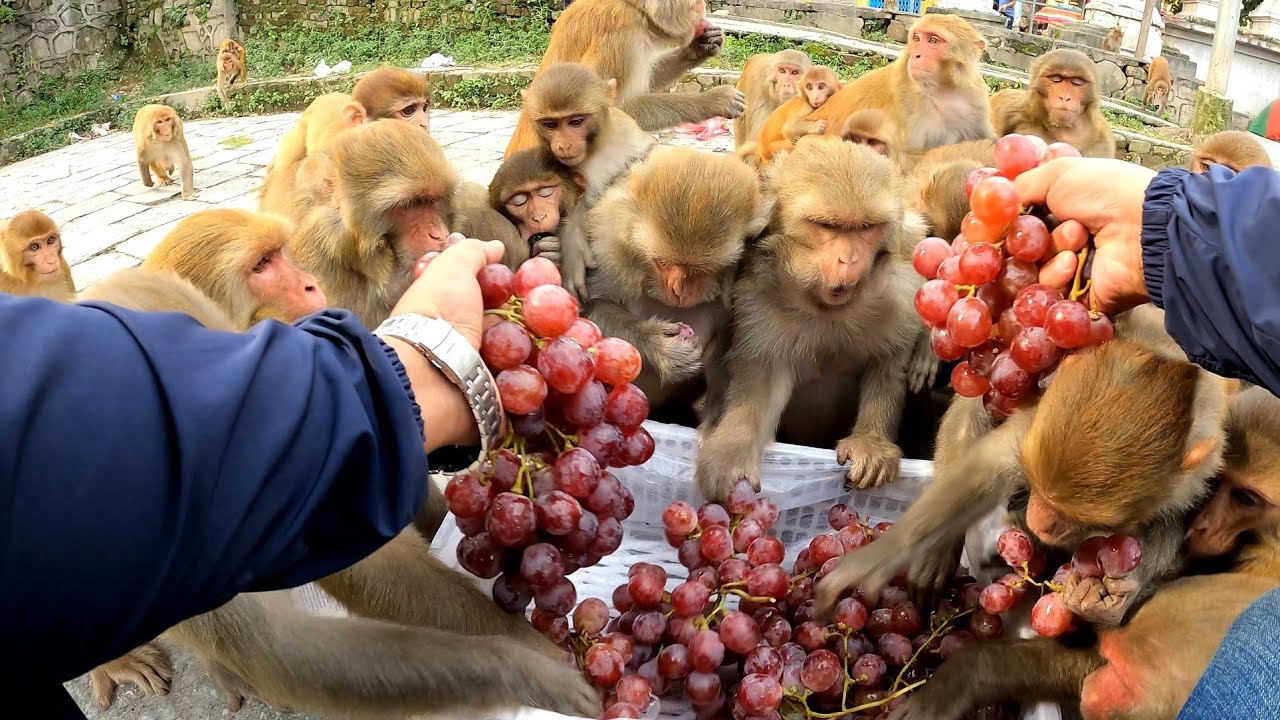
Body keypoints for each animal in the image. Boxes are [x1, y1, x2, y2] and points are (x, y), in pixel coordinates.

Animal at [503, 0, 746, 158]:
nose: (701, 3)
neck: (635, 7)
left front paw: (699, 47)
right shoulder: (620, 35)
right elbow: (612, 110)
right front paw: (716, 99)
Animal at [521, 63, 659, 300]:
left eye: (576, 121)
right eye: (550, 124)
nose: (564, 145)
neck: (595, 150)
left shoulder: (625, 127)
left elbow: (648, 152)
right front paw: (571, 243)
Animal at [584, 145, 771, 420]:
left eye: (702, 271)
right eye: (661, 263)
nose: (679, 290)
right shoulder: (608, 244)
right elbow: (591, 307)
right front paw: (659, 345)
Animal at [695, 137, 928, 501]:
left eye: (865, 228)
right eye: (827, 226)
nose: (849, 260)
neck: (826, 307)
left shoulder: (900, 294)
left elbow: (887, 366)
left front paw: (871, 443)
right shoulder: (759, 301)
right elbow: (763, 381)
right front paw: (730, 449)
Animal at [804, 15, 993, 162]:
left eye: (933, 40)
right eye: (916, 38)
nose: (916, 55)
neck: (940, 89)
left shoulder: (974, 99)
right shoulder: (906, 104)